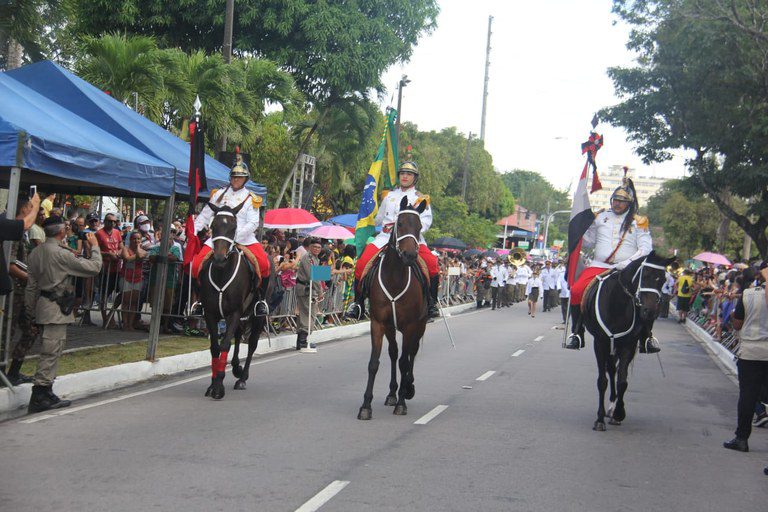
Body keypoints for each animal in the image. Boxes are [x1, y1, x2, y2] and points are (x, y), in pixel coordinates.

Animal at [200, 200, 268, 400]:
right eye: (213, 226)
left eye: (234, 227)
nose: (219, 258)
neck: (222, 273)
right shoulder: (211, 313)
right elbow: (215, 347)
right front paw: (213, 383)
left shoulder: (234, 313)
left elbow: (225, 345)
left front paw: (218, 386)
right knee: (238, 336)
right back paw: (237, 367)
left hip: (257, 315)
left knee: (252, 343)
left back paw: (242, 378)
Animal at [358, 196, 428, 420]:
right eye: (401, 223)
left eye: (420, 226)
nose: (409, 255)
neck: (395, 277)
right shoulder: (378, 323)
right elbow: (374, 363)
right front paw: (366, 406)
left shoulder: (410, 325)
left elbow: (405, 362)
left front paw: (402, 402)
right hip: (391, 327)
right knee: (394, 353)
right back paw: (392, 393)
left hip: (420, 325)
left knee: (411, 354)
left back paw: (407, 388)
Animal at [580, 252, 676, 432]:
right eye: (645, 275)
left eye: (662, 280)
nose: (650, 312)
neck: (617, 303)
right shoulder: (600, 343)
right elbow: (602, 380)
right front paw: (600, 419)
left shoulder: (628, 345)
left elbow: (623, 381)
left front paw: (618, 413)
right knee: (611, 370)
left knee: (615, 371)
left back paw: (612, 408)